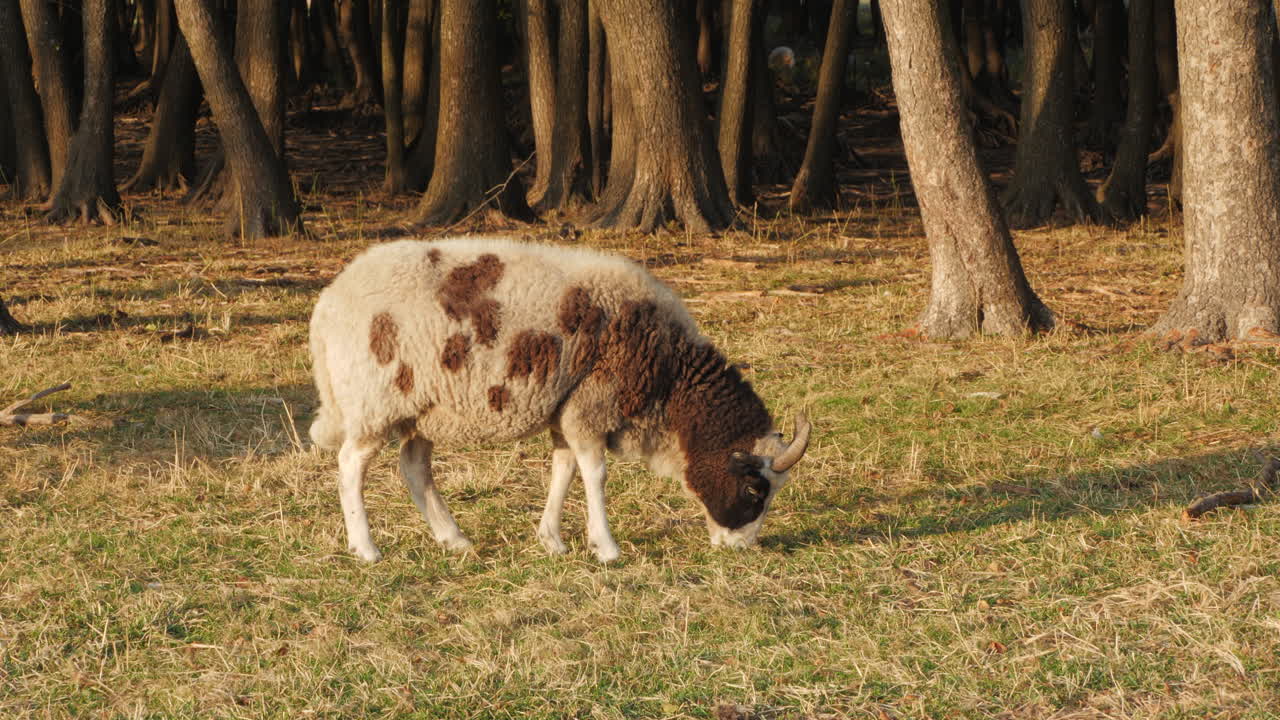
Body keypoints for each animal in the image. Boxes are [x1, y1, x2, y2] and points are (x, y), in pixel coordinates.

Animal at [309, 236, 811, 563]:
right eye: (755, 489)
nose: (742, 548)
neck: (668, 378)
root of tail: (328, 305)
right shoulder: (591, 405)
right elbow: (595, 474)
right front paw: (606, 548)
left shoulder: (566, 408)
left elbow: (564, 470)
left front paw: (552, 539)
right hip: (374, 402)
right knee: (350, 466)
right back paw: (366, 548)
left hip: (424, 408)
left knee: (414, 468)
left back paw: (453, 539)